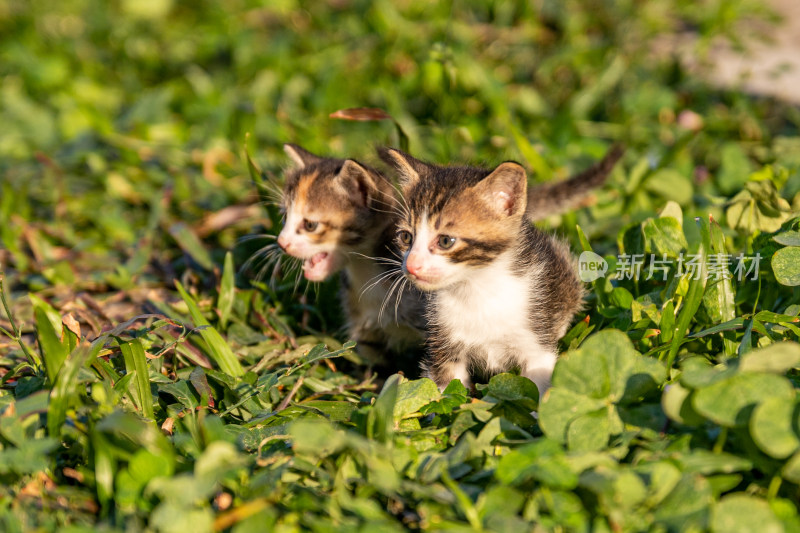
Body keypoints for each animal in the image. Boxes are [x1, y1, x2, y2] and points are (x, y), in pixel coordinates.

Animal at [378, 148, 616, 392]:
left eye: (445, 241)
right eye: (406, 237)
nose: (411, 265)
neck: (477, 289)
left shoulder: (537, 343)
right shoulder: (443, 344)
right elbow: (448, 391)